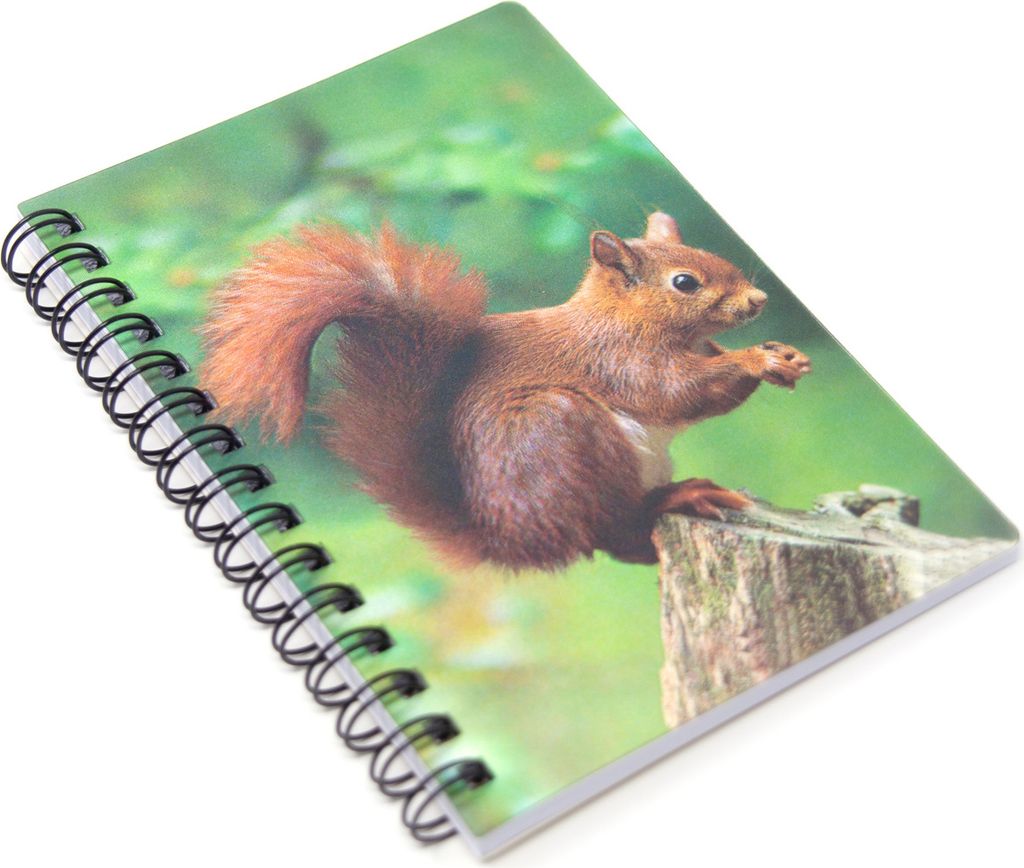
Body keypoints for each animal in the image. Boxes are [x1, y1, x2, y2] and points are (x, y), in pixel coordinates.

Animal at [200, 211, 811, 572]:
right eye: (685, 282)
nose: (758, 300)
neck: (620, 317)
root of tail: (514, 542)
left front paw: (785, 356)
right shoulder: (618, 360)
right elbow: (679, 392)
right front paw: (756, 358)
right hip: (562, 433)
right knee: (615, 536)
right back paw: (676, 499)